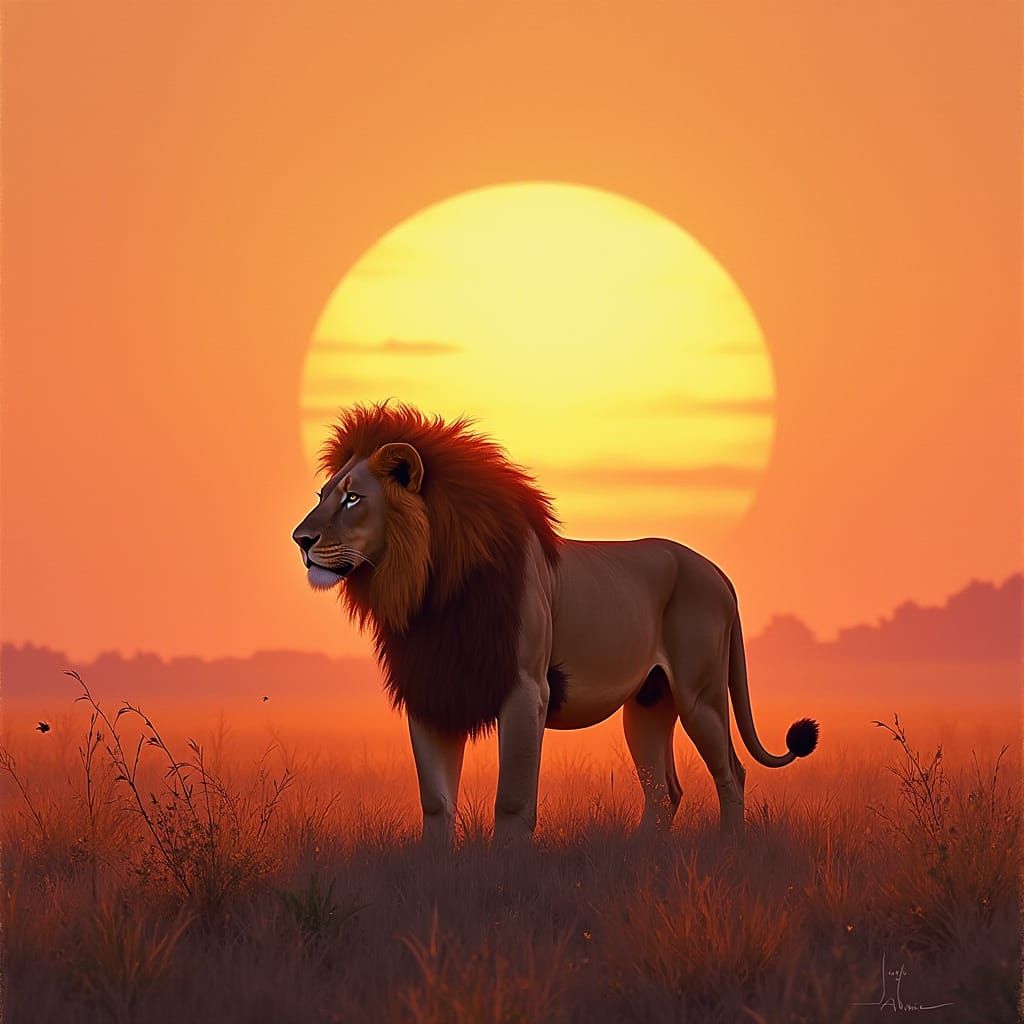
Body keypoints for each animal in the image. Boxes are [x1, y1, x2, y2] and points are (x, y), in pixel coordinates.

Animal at [292, 402, 818, 844]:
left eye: (353, 499)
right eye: (321, 494)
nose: (301, 539)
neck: (429, 591)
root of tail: (715, 571)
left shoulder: (526, 689)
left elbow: (512, 800)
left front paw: (506, 874)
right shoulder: (433, 690)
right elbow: (436, 802)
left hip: (699, 694)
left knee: (731, 772)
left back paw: (729, 847)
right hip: (649, 702)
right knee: (664, 790)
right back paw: (640, 856)